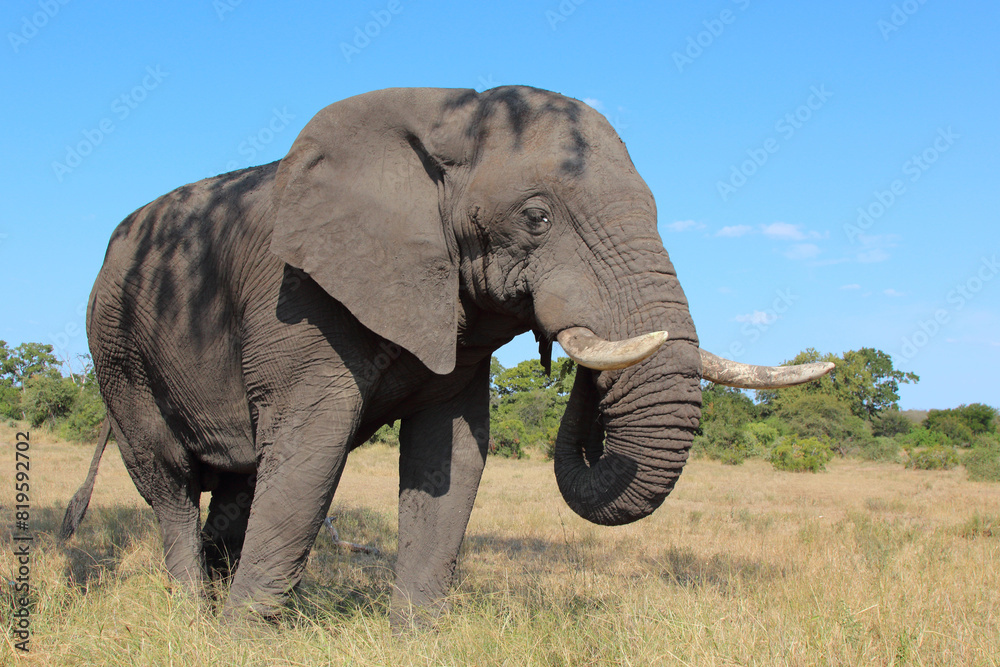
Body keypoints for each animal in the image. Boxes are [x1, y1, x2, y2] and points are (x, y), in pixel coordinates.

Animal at [60, 86, 832, 629]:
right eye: (536, 217)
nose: (564, 348)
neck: (445, 120)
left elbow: (452, 454)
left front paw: (415, 639)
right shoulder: (300, 297)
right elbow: (311, 452)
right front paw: (242, 641)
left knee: (237, 484)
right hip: (118, 346)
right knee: (168, 479)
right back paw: (191, 616)